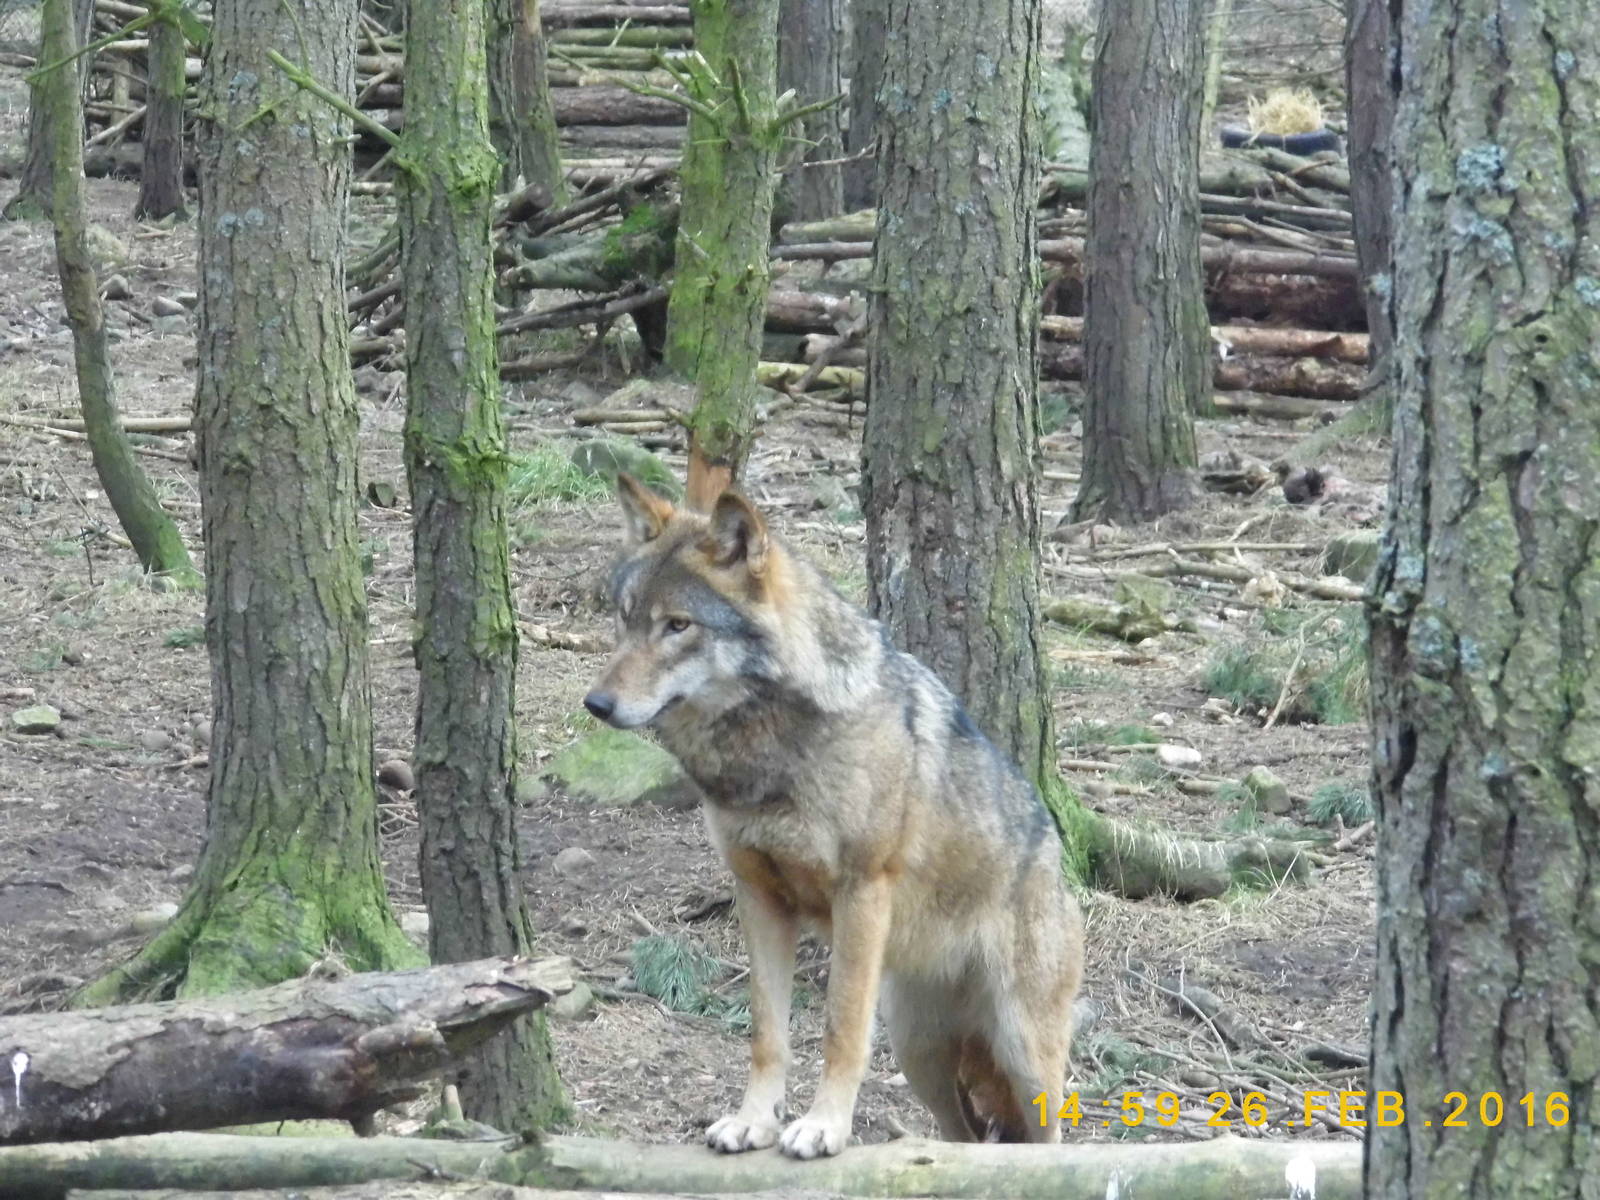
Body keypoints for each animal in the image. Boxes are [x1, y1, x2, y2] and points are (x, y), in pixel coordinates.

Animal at [583, 475, 1085, 1159]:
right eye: (624, 618)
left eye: (677, 626)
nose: (596, 704)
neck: (768, 751)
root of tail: (1059, 866)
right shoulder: (757, 894)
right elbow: (767, 1033)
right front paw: (753, 1121)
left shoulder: (862, 890)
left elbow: (840, 1028)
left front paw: (822, 1127)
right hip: (920, 1053)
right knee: (963, 1135)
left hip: (1024, 1056)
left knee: (1052, 1138)